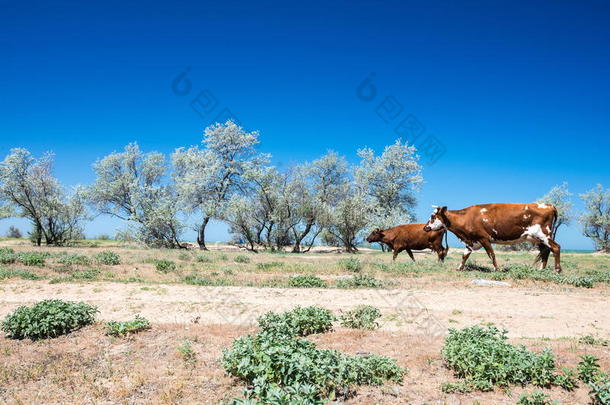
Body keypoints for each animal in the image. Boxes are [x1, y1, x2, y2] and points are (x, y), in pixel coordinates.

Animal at [422, 204, 560, 274]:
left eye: (433, 216)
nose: (425, 227)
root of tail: (549, 205)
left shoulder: (484, 238)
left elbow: (491, 254)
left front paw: (496, 269)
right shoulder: (472, 241)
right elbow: (465, 255)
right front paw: (459, 268)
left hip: (543, 235)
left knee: (555, 247)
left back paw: (557, 270)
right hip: (538, 238)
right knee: (545, 251)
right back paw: (541, 270)